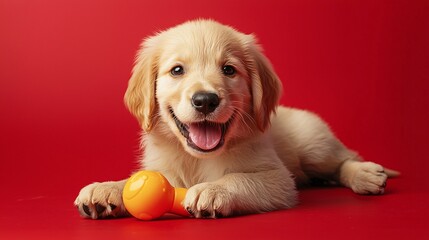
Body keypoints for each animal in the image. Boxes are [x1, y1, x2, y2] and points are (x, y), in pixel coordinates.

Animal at [74, 19, 398, 219]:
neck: (196, 159)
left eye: (229, 70)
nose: (205, 100)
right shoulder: (163, 169)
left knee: (344, 159)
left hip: (314, 146)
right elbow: (133, 180)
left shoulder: (278, 179)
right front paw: (106, 188)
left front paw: (212, 189)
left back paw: (366, 175)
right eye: (177, 70)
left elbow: (239, 178)